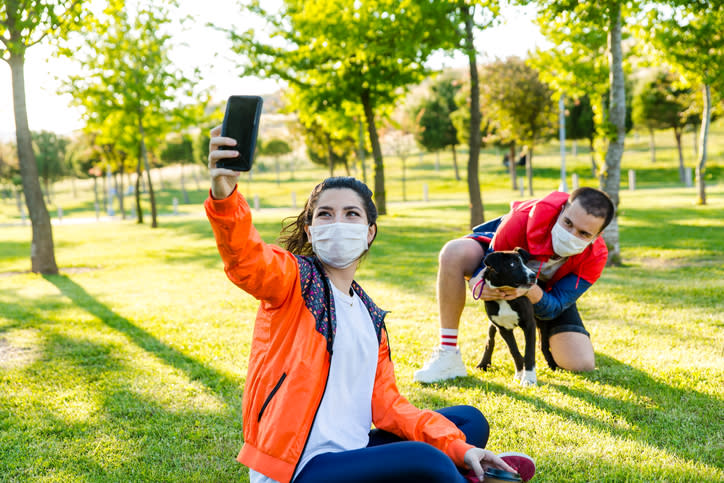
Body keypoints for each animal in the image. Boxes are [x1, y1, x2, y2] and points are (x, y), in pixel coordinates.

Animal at [470, 250, 536, 386]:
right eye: (512, 265)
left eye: (524, 263)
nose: (533, 275)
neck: (504, 297)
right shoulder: (503, 329)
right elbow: (514, 351)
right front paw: (520, 374)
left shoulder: (529, 324)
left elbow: (529, 352)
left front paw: (529, 378)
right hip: (492, 325)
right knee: (490, 341)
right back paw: (483, 363)